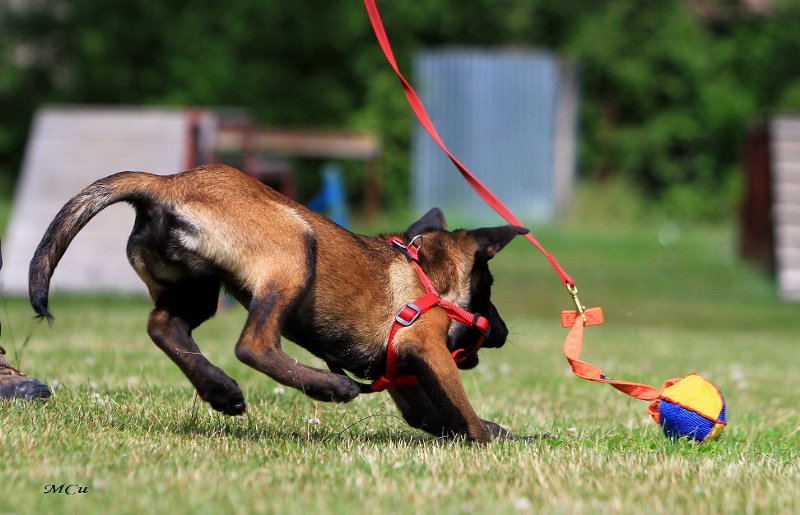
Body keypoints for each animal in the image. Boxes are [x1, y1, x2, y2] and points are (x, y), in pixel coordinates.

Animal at [28, 165, 528, 444]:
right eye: (488, 287)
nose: (504, 331)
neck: (427, 274)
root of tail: (168, 184)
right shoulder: (426, 348)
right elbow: (464, 413)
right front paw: (491, 443)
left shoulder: (407, 380)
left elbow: (443, 416)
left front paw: (508, 435)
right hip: (294, 248)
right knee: (253, 344)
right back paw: (329, 387)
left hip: (197, 288)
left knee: (163, 327)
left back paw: (219, 389)